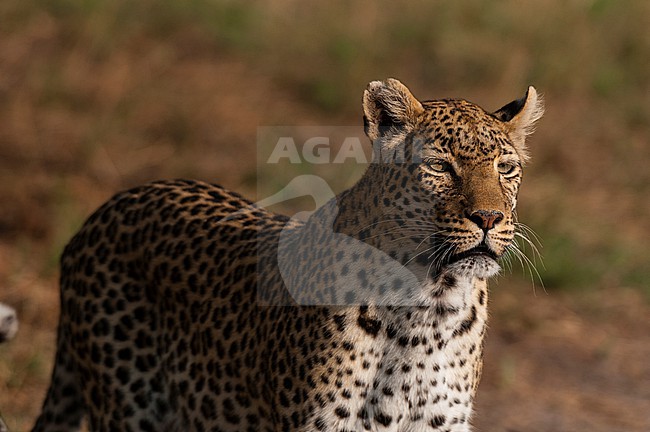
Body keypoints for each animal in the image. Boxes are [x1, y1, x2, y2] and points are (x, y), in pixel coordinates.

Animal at [32, 78, 542, 432]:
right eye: (439, 166)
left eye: (506, 168)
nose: (489, 218)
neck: (429, 306)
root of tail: (106, 209)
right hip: (128, 406)